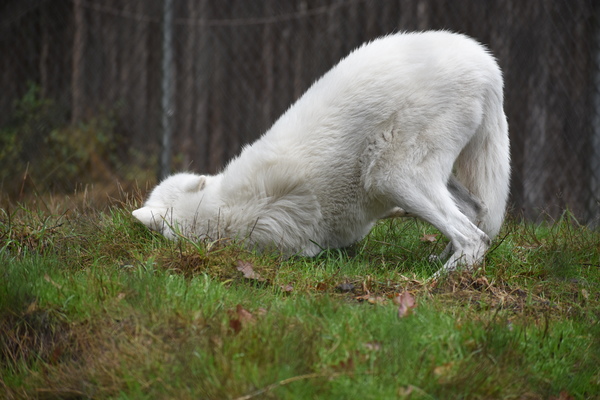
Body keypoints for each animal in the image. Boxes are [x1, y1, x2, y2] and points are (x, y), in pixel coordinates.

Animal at [133, 31, 510, 274]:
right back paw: (440, 265)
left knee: (474, 237)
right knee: (476, 217)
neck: (220, 212)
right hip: (400, 178)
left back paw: (436, 282)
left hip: (392, 178)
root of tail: (487, 63)